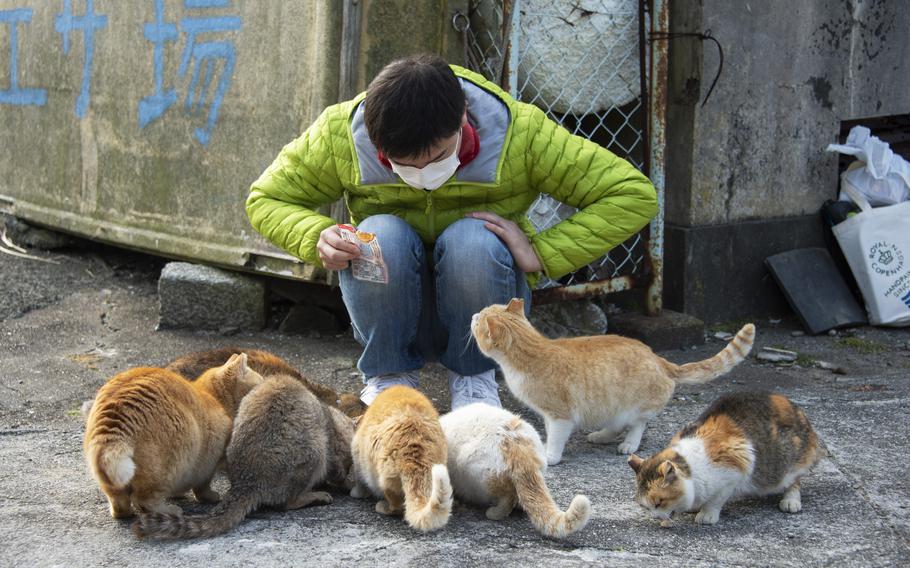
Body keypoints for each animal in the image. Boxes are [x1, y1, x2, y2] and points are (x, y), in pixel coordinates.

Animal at [83, 356, 264, 520]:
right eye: (260, 381)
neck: (215, 398)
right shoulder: (209, 460)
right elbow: (202, 486)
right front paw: (208, 496)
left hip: (108, 477)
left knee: (120, 505)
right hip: (170, 464)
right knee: (144, 500)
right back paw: (169, 510)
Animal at [470, 300, 756, 464]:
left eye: (478, 319)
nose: (472, 315)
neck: (531, 353)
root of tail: (659, 359)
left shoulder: (560, 415)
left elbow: (556, 437)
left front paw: (550, 456)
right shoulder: (550, 415)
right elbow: (549, 433)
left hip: (634, 407)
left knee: (637, 425)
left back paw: (629, 443)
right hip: (609, 408)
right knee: (615, 425)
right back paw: (600, 435)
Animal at [632, 392, 824, 524]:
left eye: (659, 502)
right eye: (644, 506)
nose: (656, 517)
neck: (693, 469)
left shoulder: (734, 471)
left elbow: (716, 499)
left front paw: (707, 514)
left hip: (788, 463)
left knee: (794, 480)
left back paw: (791, 501)